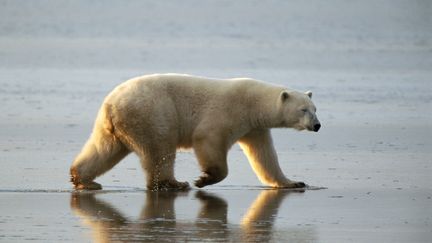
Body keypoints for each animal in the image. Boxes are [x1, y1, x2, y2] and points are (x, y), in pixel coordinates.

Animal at [70, 73, 320, 191]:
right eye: (303, 109)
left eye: (315, 108)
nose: (317, 126)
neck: (254, 103)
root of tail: (112, 104)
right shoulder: (229, 111)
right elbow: (208, 138)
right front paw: (204, 179)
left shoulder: (254, 128)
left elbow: (265, 156)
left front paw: (294, 182)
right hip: (152, 113)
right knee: (160, 149)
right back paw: (174, 184)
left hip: (114, 126)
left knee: (104, 149)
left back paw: (83, 179)